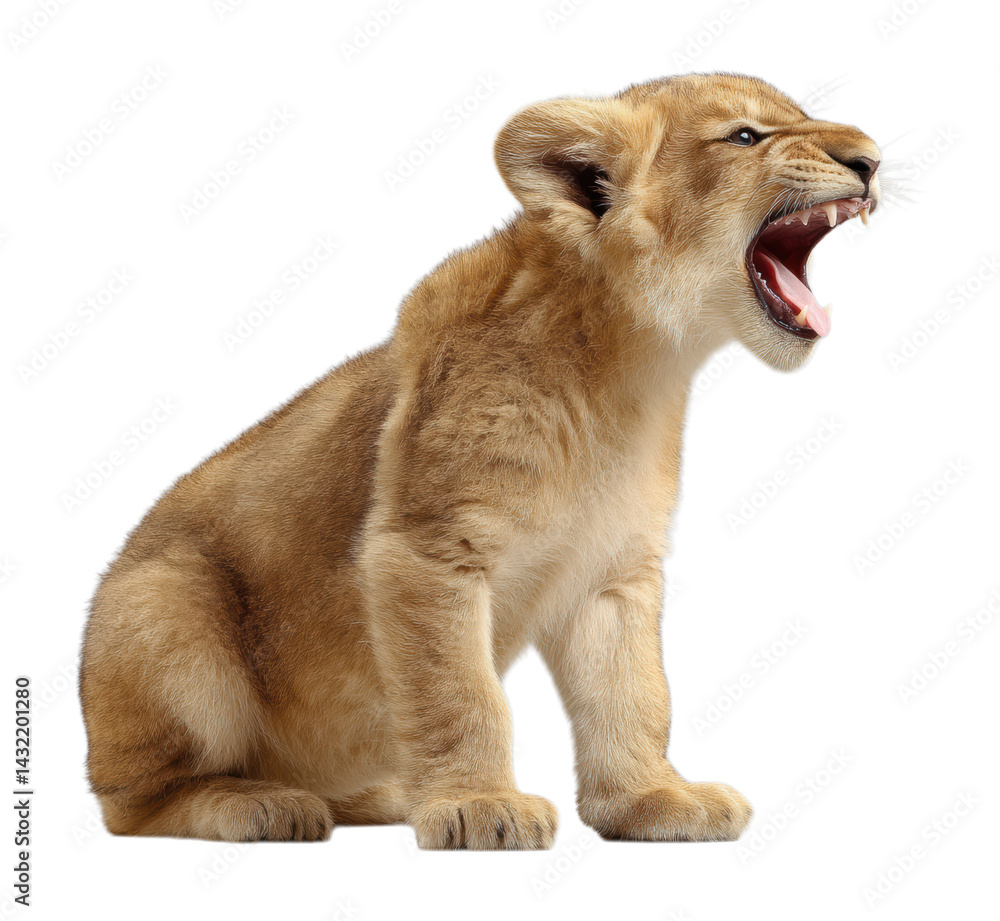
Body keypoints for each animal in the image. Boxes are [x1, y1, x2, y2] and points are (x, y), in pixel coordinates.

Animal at [79, 72, 880, 849]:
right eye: (746, 136)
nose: (870, 159)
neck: (631, 373)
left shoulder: (614, 572)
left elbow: (634, 694)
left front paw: (652, 799)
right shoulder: (425, 550)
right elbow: (460, 695)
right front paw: (477, 805)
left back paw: (378, 795)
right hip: (166, 604)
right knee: (133, 804)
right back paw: (261, 804)